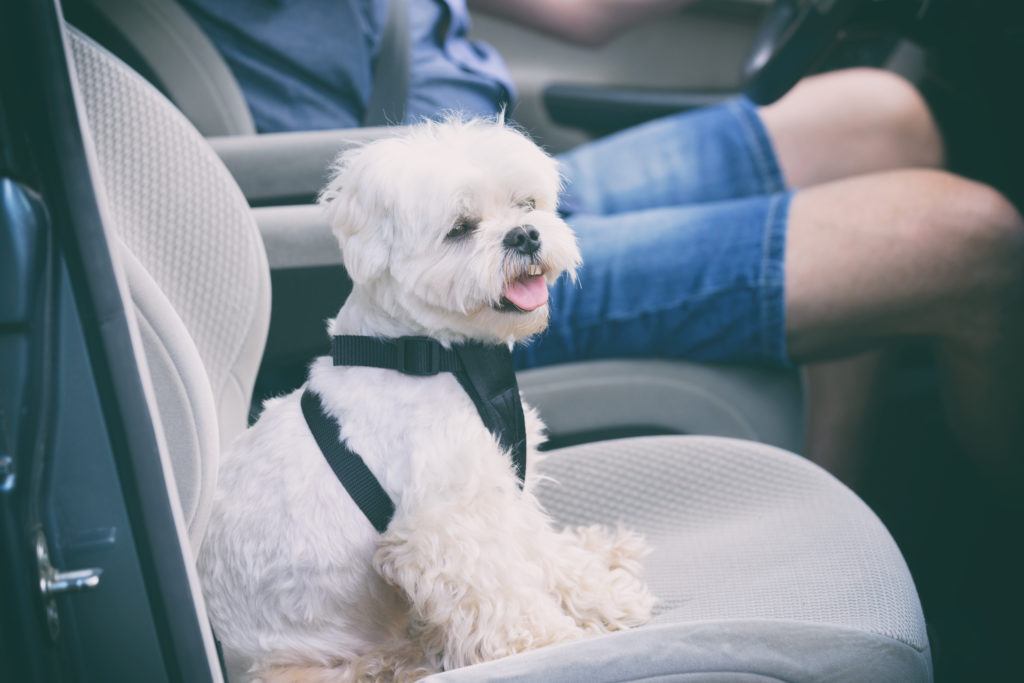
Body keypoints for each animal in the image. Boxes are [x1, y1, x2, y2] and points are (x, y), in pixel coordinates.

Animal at [199, 118, 655, 683]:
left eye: (526, 205)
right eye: (460, 228)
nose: (525, 234)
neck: (431, 353)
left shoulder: (499, 493)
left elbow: (542, 556)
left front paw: (601, 595)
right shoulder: (443, 526)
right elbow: (502, 592)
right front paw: (549, 640)